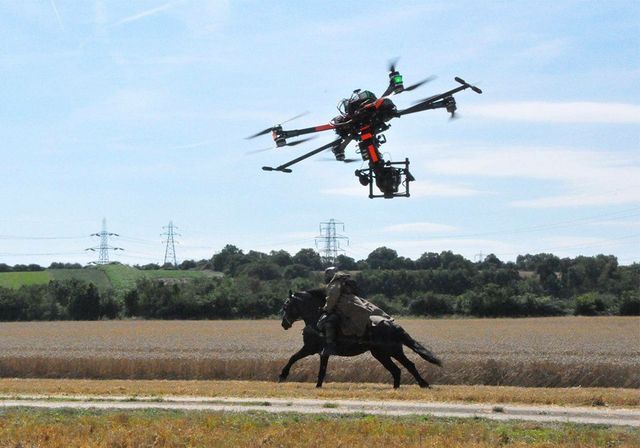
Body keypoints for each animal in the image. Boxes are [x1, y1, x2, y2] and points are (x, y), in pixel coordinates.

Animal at [279, 288, 442, 388]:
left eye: (286, 306)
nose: (284, 324)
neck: (315, 318)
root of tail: (391, 325)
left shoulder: (311, 348)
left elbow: (293, 358)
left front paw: (282, 375)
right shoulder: (320, 352)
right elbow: (320, 369)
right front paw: (318, 385)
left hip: (390, 351)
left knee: (406, 366)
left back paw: (421, 384)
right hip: (382, 353)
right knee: (398, 369)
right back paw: (399, 387)